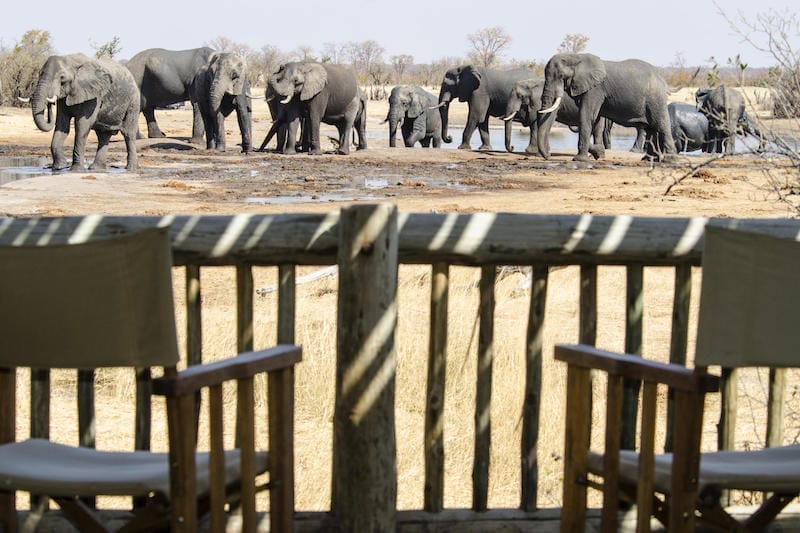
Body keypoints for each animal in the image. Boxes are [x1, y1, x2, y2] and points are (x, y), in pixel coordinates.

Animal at [536, 52, 676, 161]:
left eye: (561, 76)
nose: (548, 156)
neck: (576, 57)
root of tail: (663, 80)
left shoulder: (595, 88)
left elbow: (586, 116)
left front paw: (581, 159)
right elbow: (595, 118)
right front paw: (598, 152)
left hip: (655, 99)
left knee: (662, 125)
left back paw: (669, 160)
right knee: (651, 128)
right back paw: (648, 159)